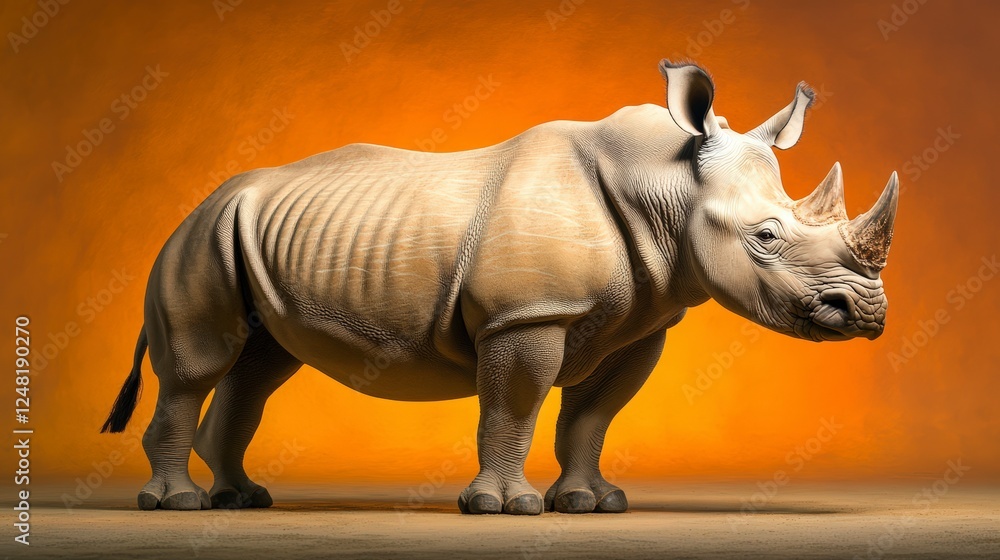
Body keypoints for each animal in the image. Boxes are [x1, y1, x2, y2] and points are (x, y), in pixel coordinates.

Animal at [102, 60, 897, 515]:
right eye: (765, 237)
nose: (866, 312)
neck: (668, 185)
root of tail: (198, 205)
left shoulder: (638, 321)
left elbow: (590, 417)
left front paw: (592, 502)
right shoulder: (526, 316)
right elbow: (512, 409)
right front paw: (505, 507)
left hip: (245, 236)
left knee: (261, 366)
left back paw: (242, 499)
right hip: (200, 238)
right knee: (198, 367)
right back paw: (178, 506)